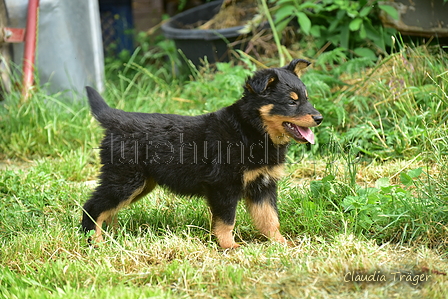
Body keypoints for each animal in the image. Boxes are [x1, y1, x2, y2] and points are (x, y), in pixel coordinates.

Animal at [82, 59, 324, 250]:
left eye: (306, 99)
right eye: (292, 102)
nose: (319, 118)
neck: (251, 129)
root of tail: (116, 119)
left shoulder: (262, 186)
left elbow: (270, 218)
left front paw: (281, 243)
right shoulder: (224, 186)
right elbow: (226, 221)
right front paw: (229, 246)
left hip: (140, 184)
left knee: (107, 211)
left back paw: (111, 237)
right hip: (125, 180)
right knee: (93, 207)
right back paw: (94, 242)